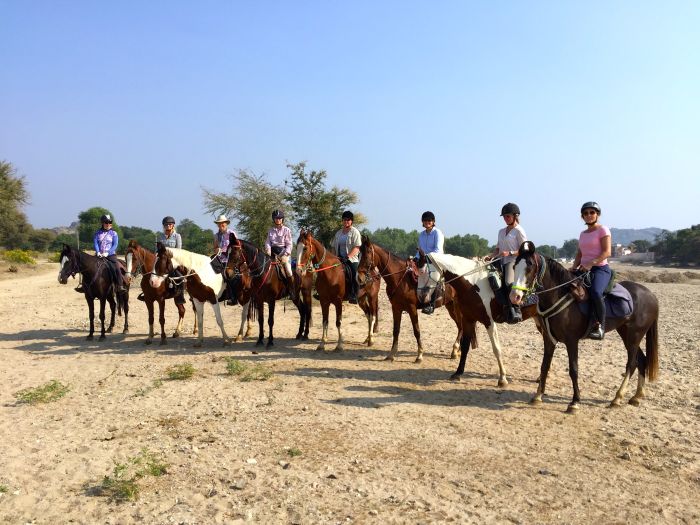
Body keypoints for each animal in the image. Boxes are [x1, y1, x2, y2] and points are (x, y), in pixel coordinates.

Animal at [418, 250, 540, 384]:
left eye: (422, 271)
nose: (421, 296)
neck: (473, 284)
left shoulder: (489, 321)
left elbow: (496, 349)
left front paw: (502, 378)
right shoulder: (468, 319)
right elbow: (465, 346)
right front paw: (458, 372)